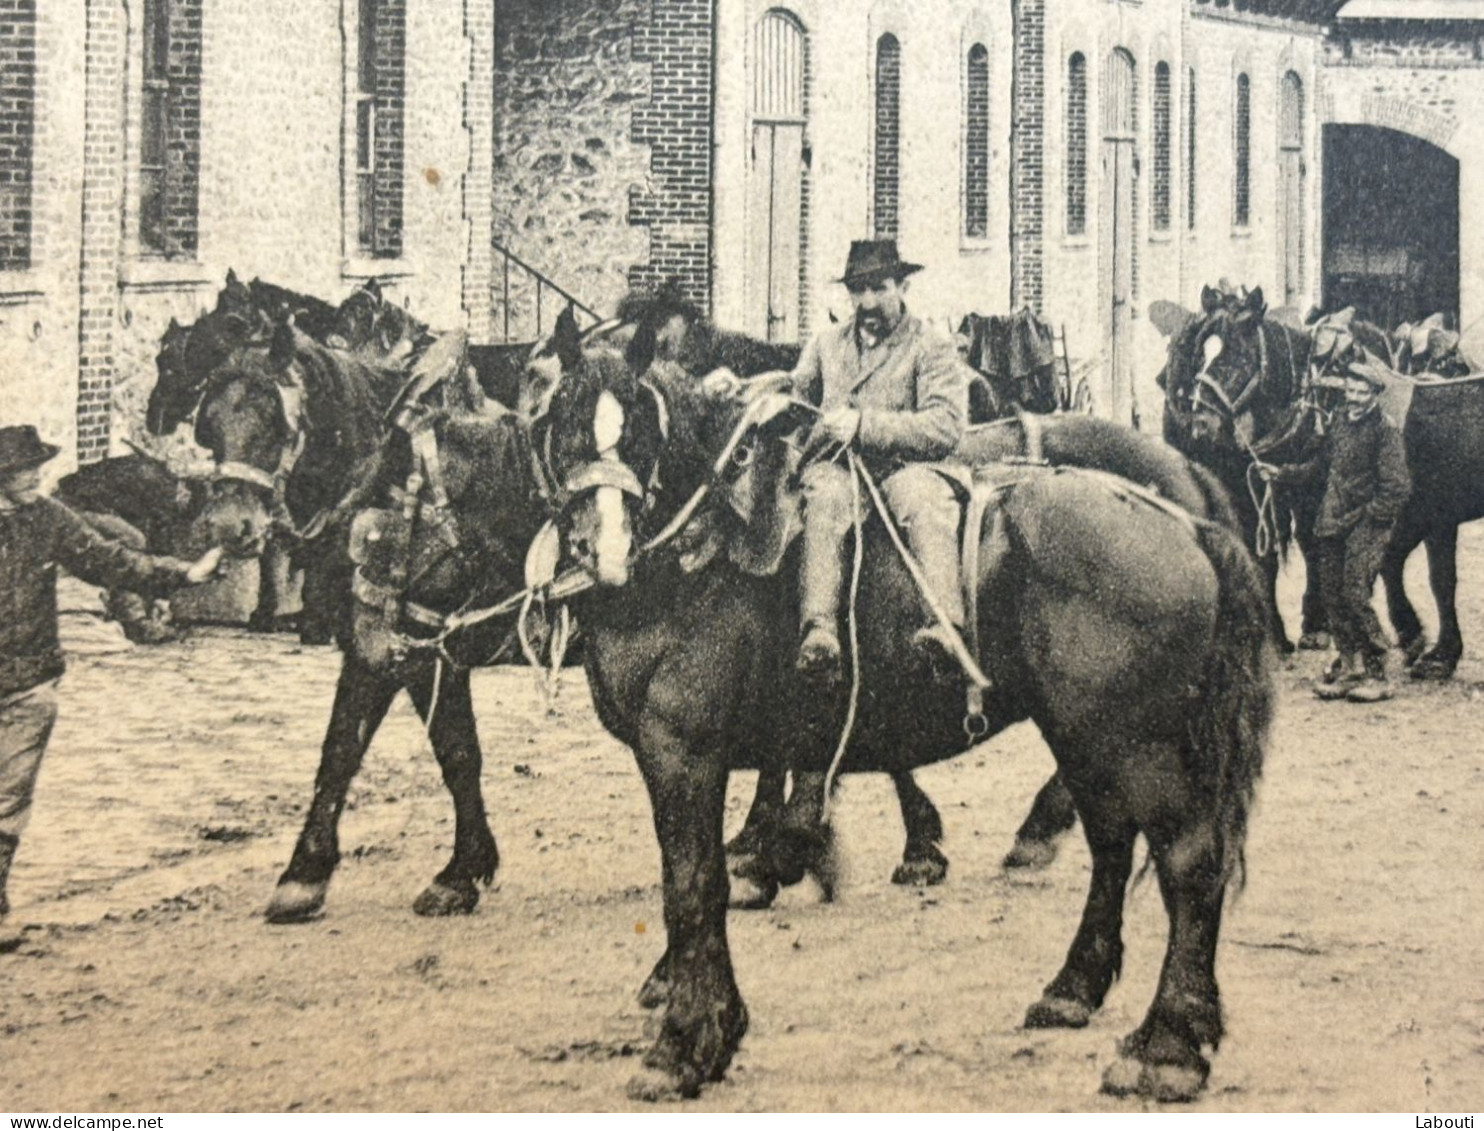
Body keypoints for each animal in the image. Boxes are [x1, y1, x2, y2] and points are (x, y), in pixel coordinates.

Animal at [534, 323, 1276, 1092]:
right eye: (560, 418)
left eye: (641, 428)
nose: (601, 547)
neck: (695, 553)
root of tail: (1184, 521)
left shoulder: (682, 752)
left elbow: (692, 884)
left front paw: (688, 1040)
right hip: (1085, 735)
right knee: (1110, 842)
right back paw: (1074, 987)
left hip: (1137, 743)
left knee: (1189, 862)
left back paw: (1169, 1044)